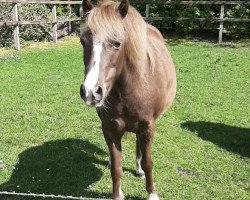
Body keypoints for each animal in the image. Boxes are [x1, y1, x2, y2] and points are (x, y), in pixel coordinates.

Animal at [79, 0, 176, 198]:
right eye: (82, 41)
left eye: (117, 43)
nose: (91, 92)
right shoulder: (109, 128)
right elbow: (116, 168)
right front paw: (117, 195)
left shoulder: (147, 127)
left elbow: (148, 163)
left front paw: (152, 193)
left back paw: (138, 169)